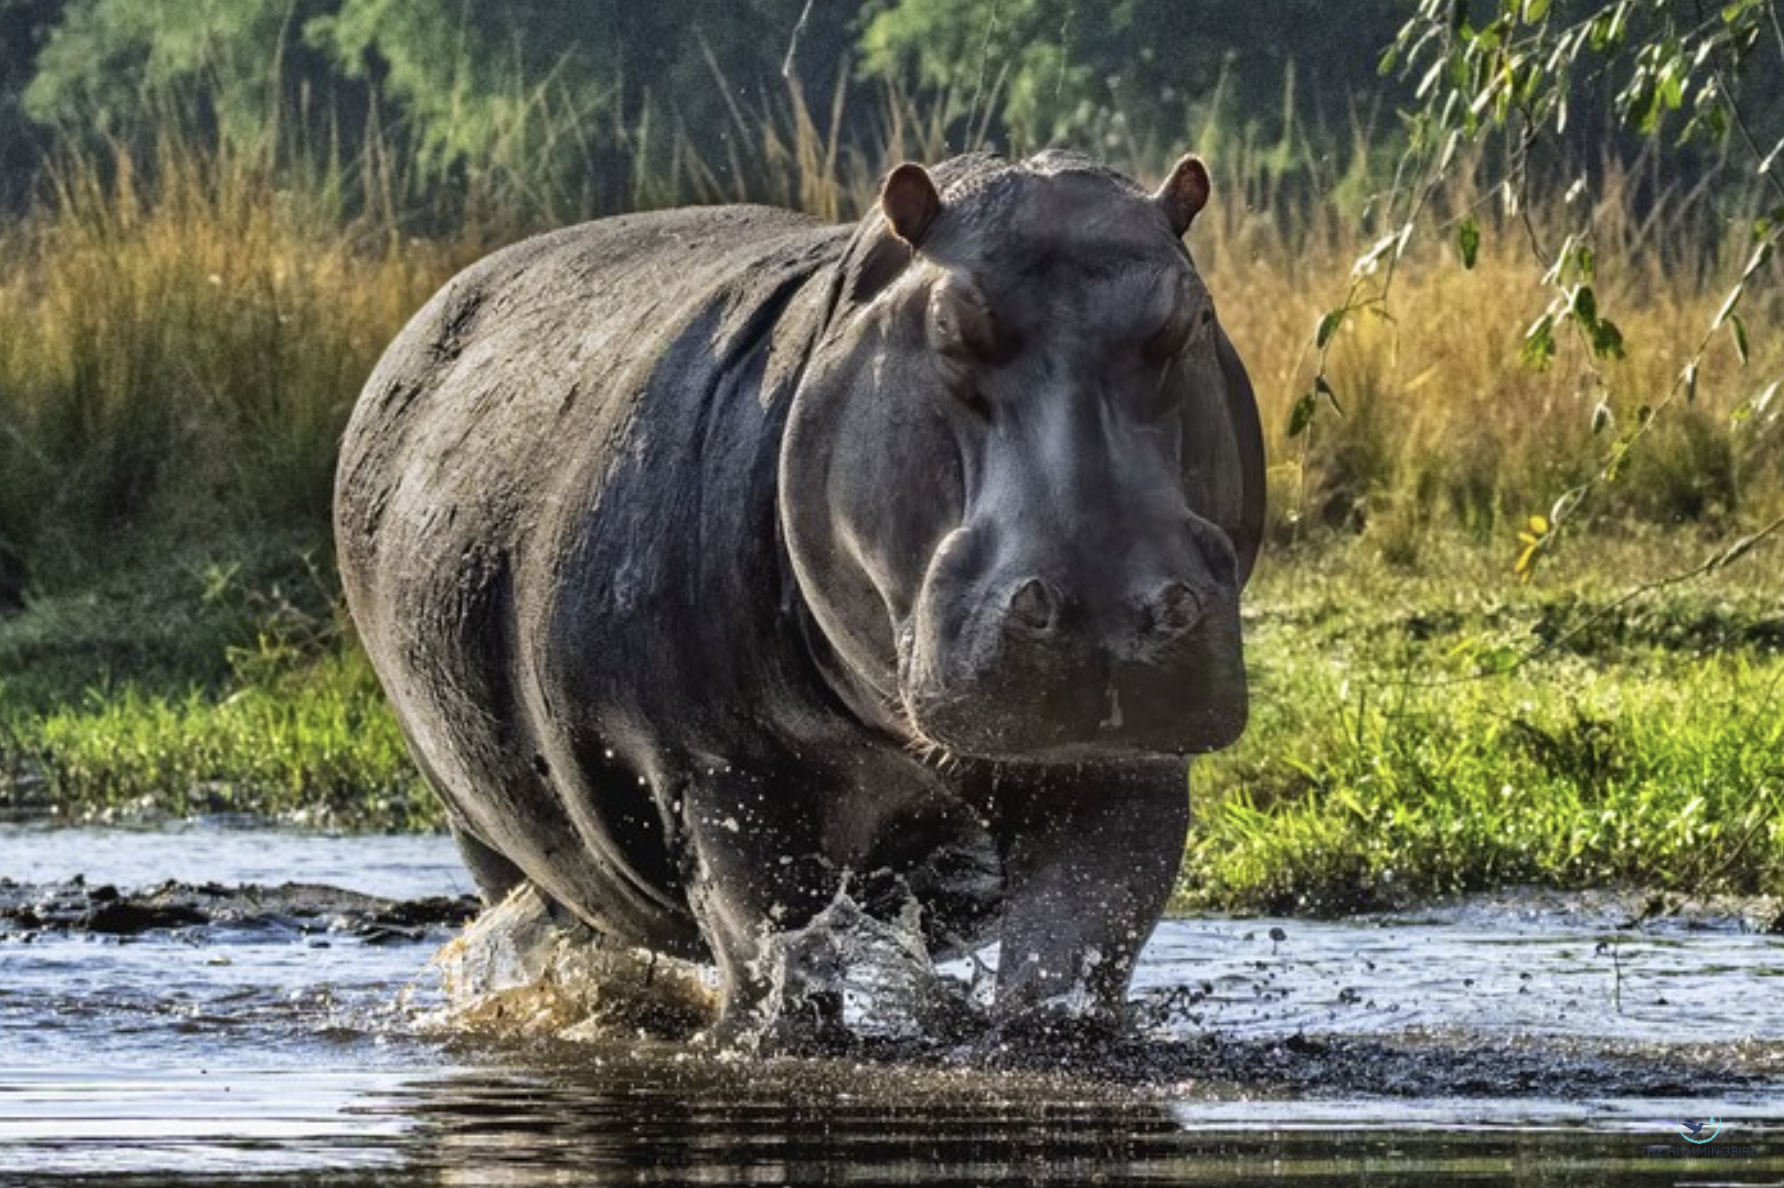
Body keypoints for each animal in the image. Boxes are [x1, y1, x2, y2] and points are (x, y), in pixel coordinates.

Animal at [335, 150, 1264, 1042]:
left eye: (1191, 317)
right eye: (949, 325)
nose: (1106, 615)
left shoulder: (1125, 776)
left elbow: (1080, 942)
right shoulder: (725, 772)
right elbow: (769, 939)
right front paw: (777, 1032)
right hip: (481, 823)